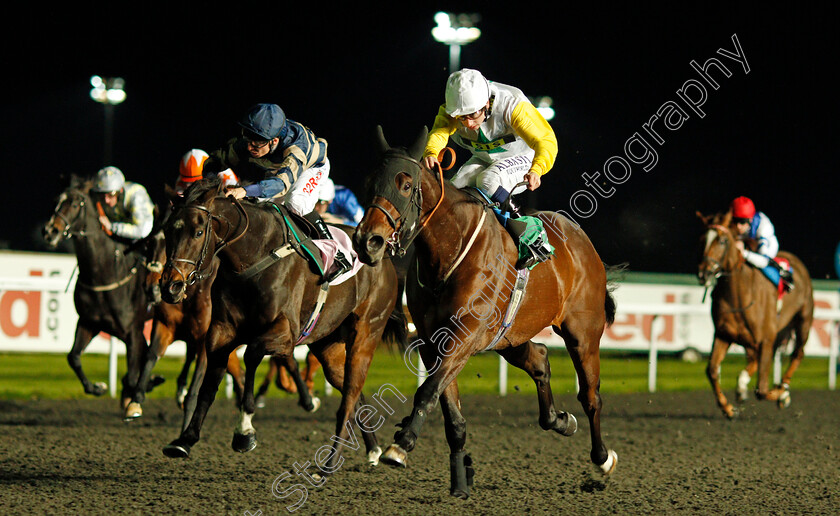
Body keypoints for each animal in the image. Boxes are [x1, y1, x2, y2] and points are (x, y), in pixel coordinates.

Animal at [159, 177, 408, 468]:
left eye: (198, 232)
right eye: (168, 230)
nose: (171, 286)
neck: (254, 256)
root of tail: (385, 257)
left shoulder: (285, 333)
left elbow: (252, 354)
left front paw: (244, 431)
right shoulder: (220, 332)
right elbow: (209, 385)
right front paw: (185, 439)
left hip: (367, 332)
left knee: (352, 384)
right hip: (328, 345)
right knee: (350, 388)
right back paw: (373, 449)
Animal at [352, 126, 620, 500]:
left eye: (405, 184)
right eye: (369, 182)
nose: (368, 242)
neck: (449, 251)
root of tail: (583, 242)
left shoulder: (463, 336)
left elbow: (427, 392)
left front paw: (401, 444)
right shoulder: (433, 342)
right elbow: (451, 414)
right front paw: (460, 479)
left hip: (583, 332)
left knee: (591, 395)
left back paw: (602, 457)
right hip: (509, 336)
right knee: (539, 359)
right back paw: (559, 420)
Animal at [696, 212, 812, 418]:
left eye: (723, 241)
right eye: (702, 240)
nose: (704, 273)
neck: (739, 296)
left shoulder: (766, 339)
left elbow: (762, 390)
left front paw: (782, 393)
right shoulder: (723, 334)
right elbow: (712, 370)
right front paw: (728, 409)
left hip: (803, 321)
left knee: (797, 353)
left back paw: (783, 388)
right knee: (753, 359)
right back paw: (743, 387)